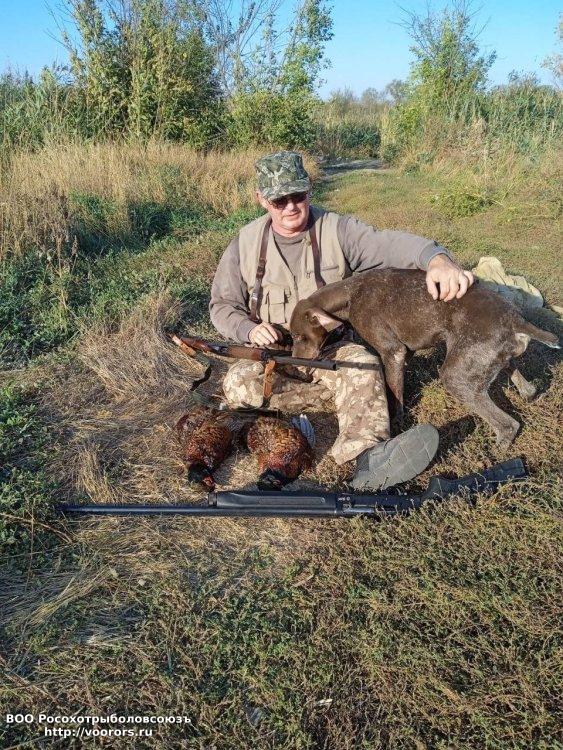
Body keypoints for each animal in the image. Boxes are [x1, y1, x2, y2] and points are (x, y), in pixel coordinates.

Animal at [289, 269, 560, 448]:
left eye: (297, 335)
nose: (295, 367)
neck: (350, 294)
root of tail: (516, 319)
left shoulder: (392, 352)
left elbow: (395, 396)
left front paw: (397, 424)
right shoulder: (405, 354)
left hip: (456, 378)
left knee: (507, 425)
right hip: (493, 360)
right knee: (523, 384)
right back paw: (528, 393)